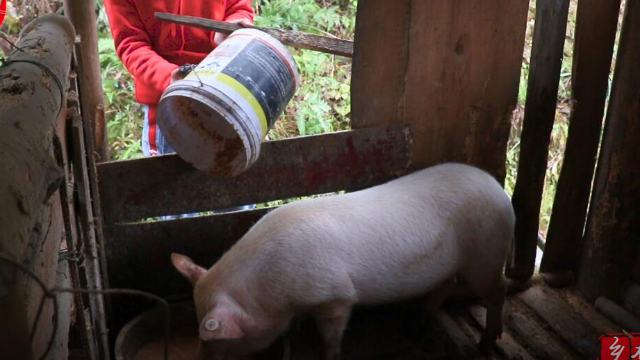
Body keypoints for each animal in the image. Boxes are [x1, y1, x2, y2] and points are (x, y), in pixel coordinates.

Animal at [170, 164, 516, 360]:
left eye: (222, 337)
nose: (199, 357)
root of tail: (500, 191)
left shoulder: (335, 295)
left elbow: (332, 333)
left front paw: (329, 353)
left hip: (486, 252)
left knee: (497, 289)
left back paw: (486, 346)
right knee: (445, 286)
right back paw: (414, 327)